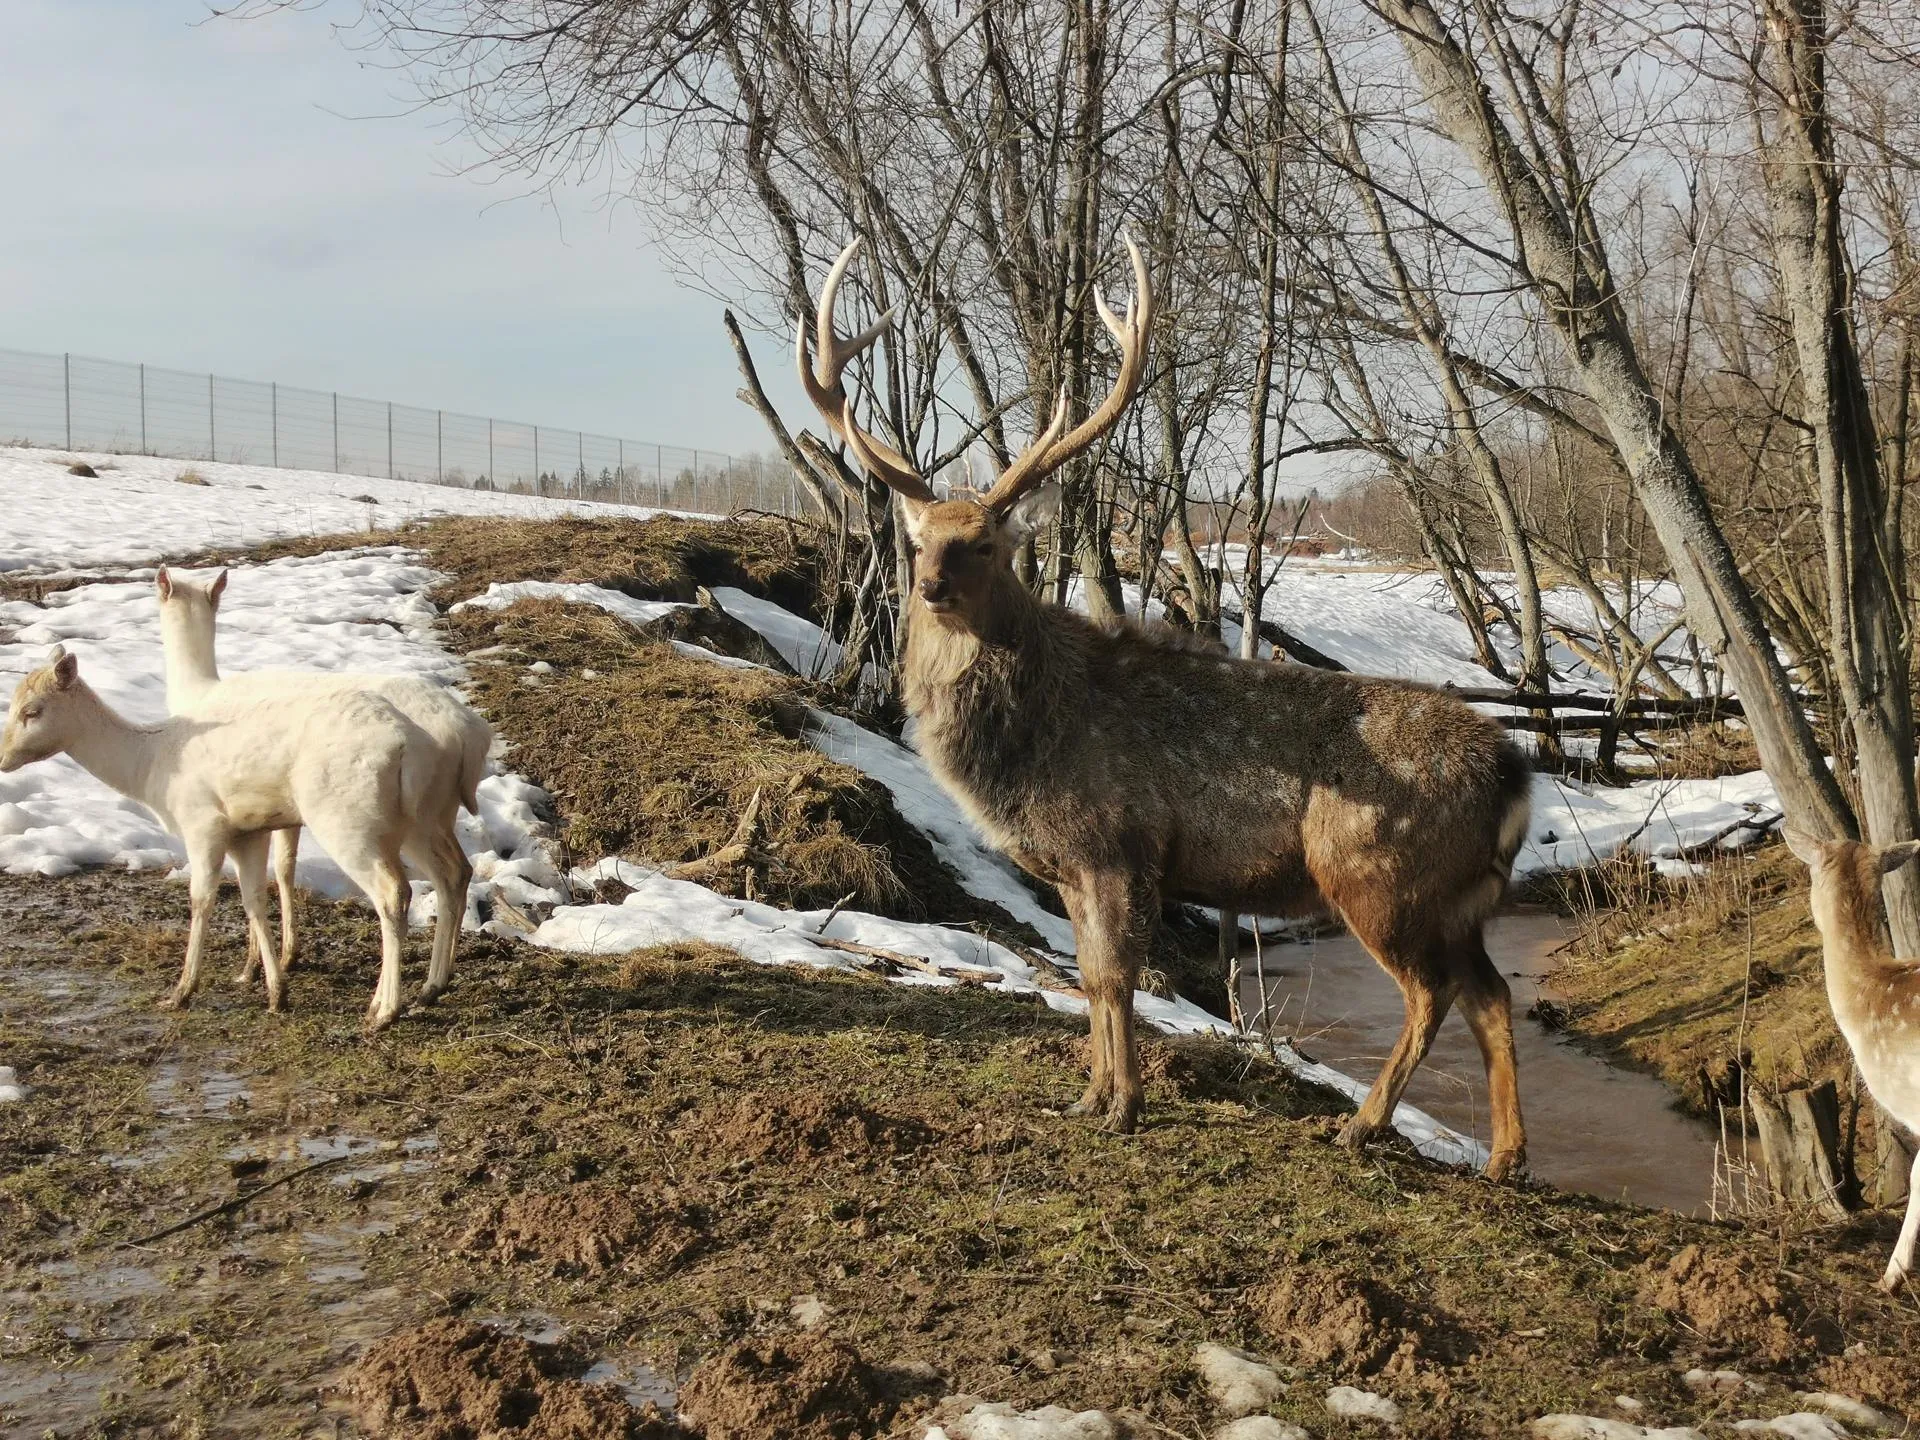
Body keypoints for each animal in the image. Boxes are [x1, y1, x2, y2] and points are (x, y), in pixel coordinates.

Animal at [802, 240, 1536, 1182]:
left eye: (985, 542)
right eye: (920, 538)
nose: (929, 587)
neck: (1030, 742)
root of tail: (1515, 774)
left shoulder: (1120, 843)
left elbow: (1119, 978)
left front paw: (1126, 1106)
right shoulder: (1071, 865)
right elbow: (1087, 976)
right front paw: (1087, 1096)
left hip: (1382, 873)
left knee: (1432, 991)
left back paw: (1363, 1126)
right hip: (1459, 898)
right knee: (1491, 992)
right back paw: (1505, 1158)